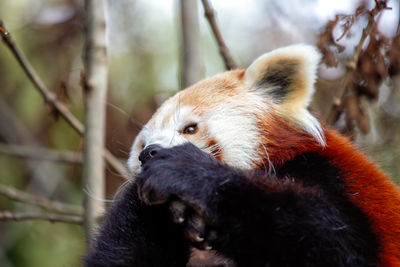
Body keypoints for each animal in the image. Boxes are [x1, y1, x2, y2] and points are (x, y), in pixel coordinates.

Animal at [86, 45, 400, 266]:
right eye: (141, 144)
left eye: (190, 128)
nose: (149, 153)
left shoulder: (332, 175)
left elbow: (340, 245)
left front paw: (187, 171)